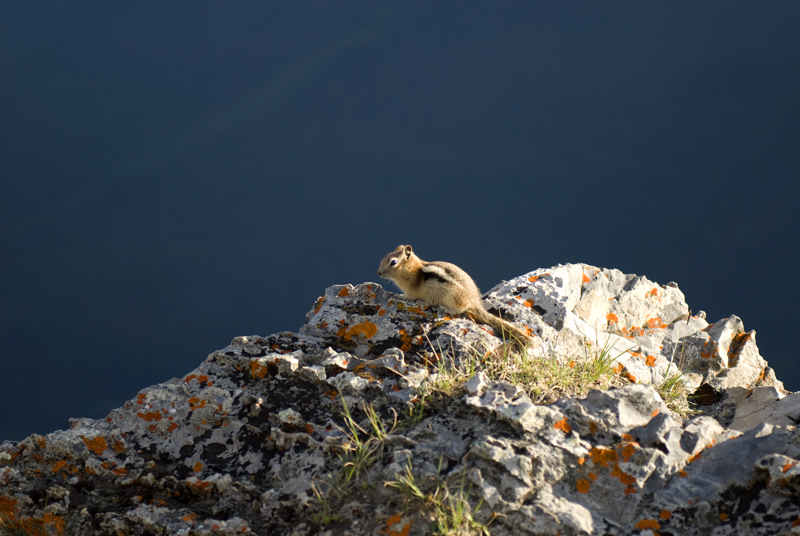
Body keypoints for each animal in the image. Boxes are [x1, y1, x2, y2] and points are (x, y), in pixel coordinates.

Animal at [378, 244, 536, 352]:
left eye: (393, 262)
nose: (378, 272)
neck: (412, 269)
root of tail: (475, 301)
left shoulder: (411, 291)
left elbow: (408, 297)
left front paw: (399, 296)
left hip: (453, 297)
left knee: (460, 310)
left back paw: (443, 308)